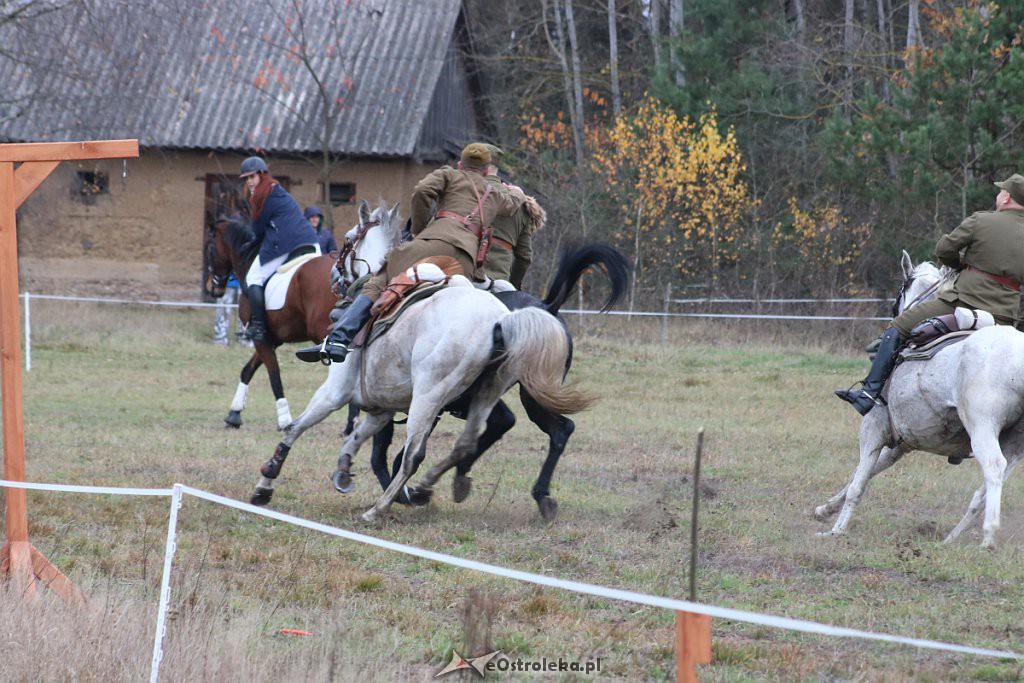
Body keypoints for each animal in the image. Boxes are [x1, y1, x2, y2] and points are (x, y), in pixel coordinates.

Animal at [203, 216, 335, 430]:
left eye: (210, 249)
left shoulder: (261, 339)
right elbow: (247, 370)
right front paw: (234, 413)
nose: (212, 288)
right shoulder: (270, 338)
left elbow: (274, 374)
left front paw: (285, 420)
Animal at [815, 252, 1024, 548]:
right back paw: (951, 539)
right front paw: (825, 509)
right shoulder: (902, 443)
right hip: (1015, 444)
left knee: (993, 468)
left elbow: (859, 481)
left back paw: (988, 537)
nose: (895, 310)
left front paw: (837, 530)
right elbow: (865, 473)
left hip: (982, 428)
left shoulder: (873, 428)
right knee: (983, 491)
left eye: (903, 288)